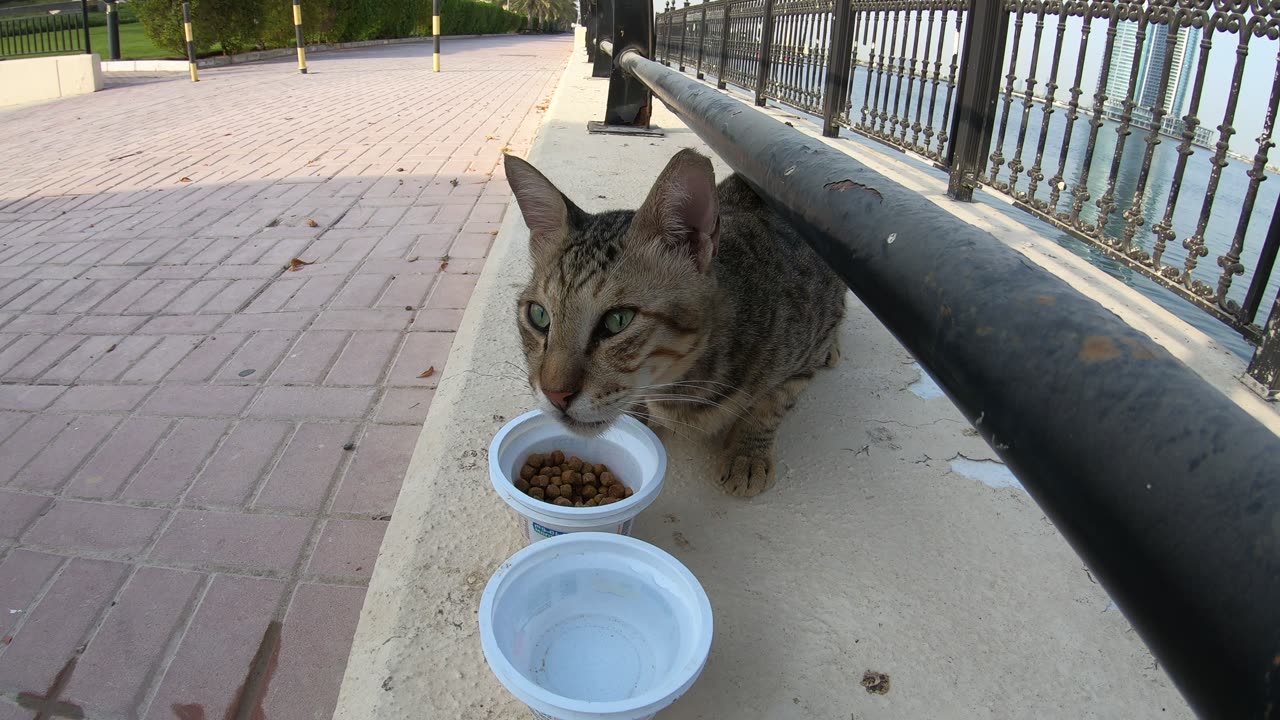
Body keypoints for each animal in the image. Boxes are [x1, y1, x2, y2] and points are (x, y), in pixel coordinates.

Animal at [504, 148, 844, 497]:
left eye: (617, 320)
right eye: (538, 315)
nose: (555, 396)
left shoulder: (805, 356)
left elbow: (771, 406)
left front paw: (747, 454)